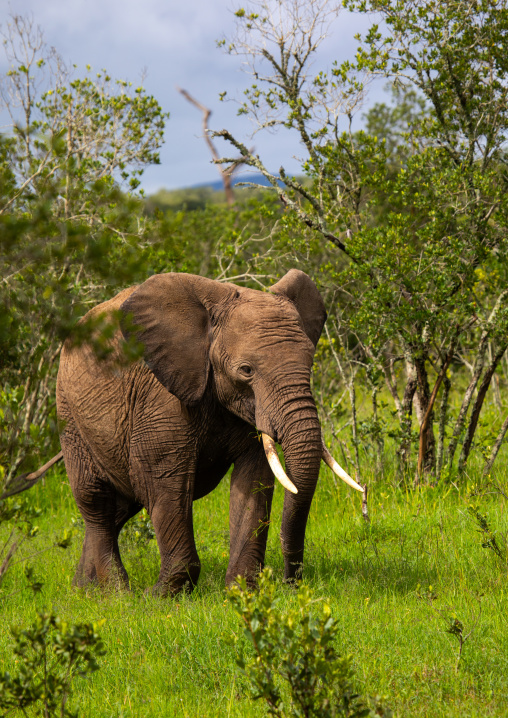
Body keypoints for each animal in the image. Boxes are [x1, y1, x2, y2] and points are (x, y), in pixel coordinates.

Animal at [20, 270, 362, 596]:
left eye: (310, 362)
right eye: (246, 370)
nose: (292, 582)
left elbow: (254, 481)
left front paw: (242, 592)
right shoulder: (160, 397)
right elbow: (163, 477)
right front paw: (160, 596)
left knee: (120, 507)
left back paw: (84, 590)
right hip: (69, 413)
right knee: (96, 501)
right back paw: (117, 594)